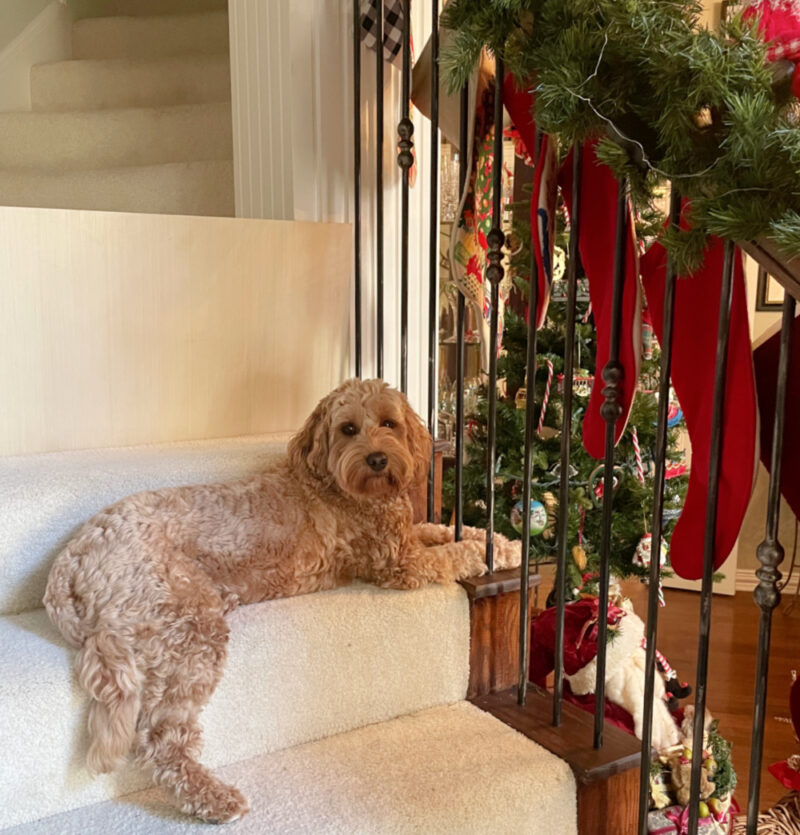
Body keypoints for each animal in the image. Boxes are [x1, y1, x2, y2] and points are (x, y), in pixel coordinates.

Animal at [45, 378, 520, 824]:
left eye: (389, 423)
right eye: (348, 429)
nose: (377, 459)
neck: (339, 486)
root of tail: (70, 558)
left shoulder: (407, 537)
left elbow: (442, 528)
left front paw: (502, 541)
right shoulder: (400, 564)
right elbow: (454, 552)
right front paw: (491, 552)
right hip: (191, 625)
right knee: (161, 738)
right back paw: (214, 798)